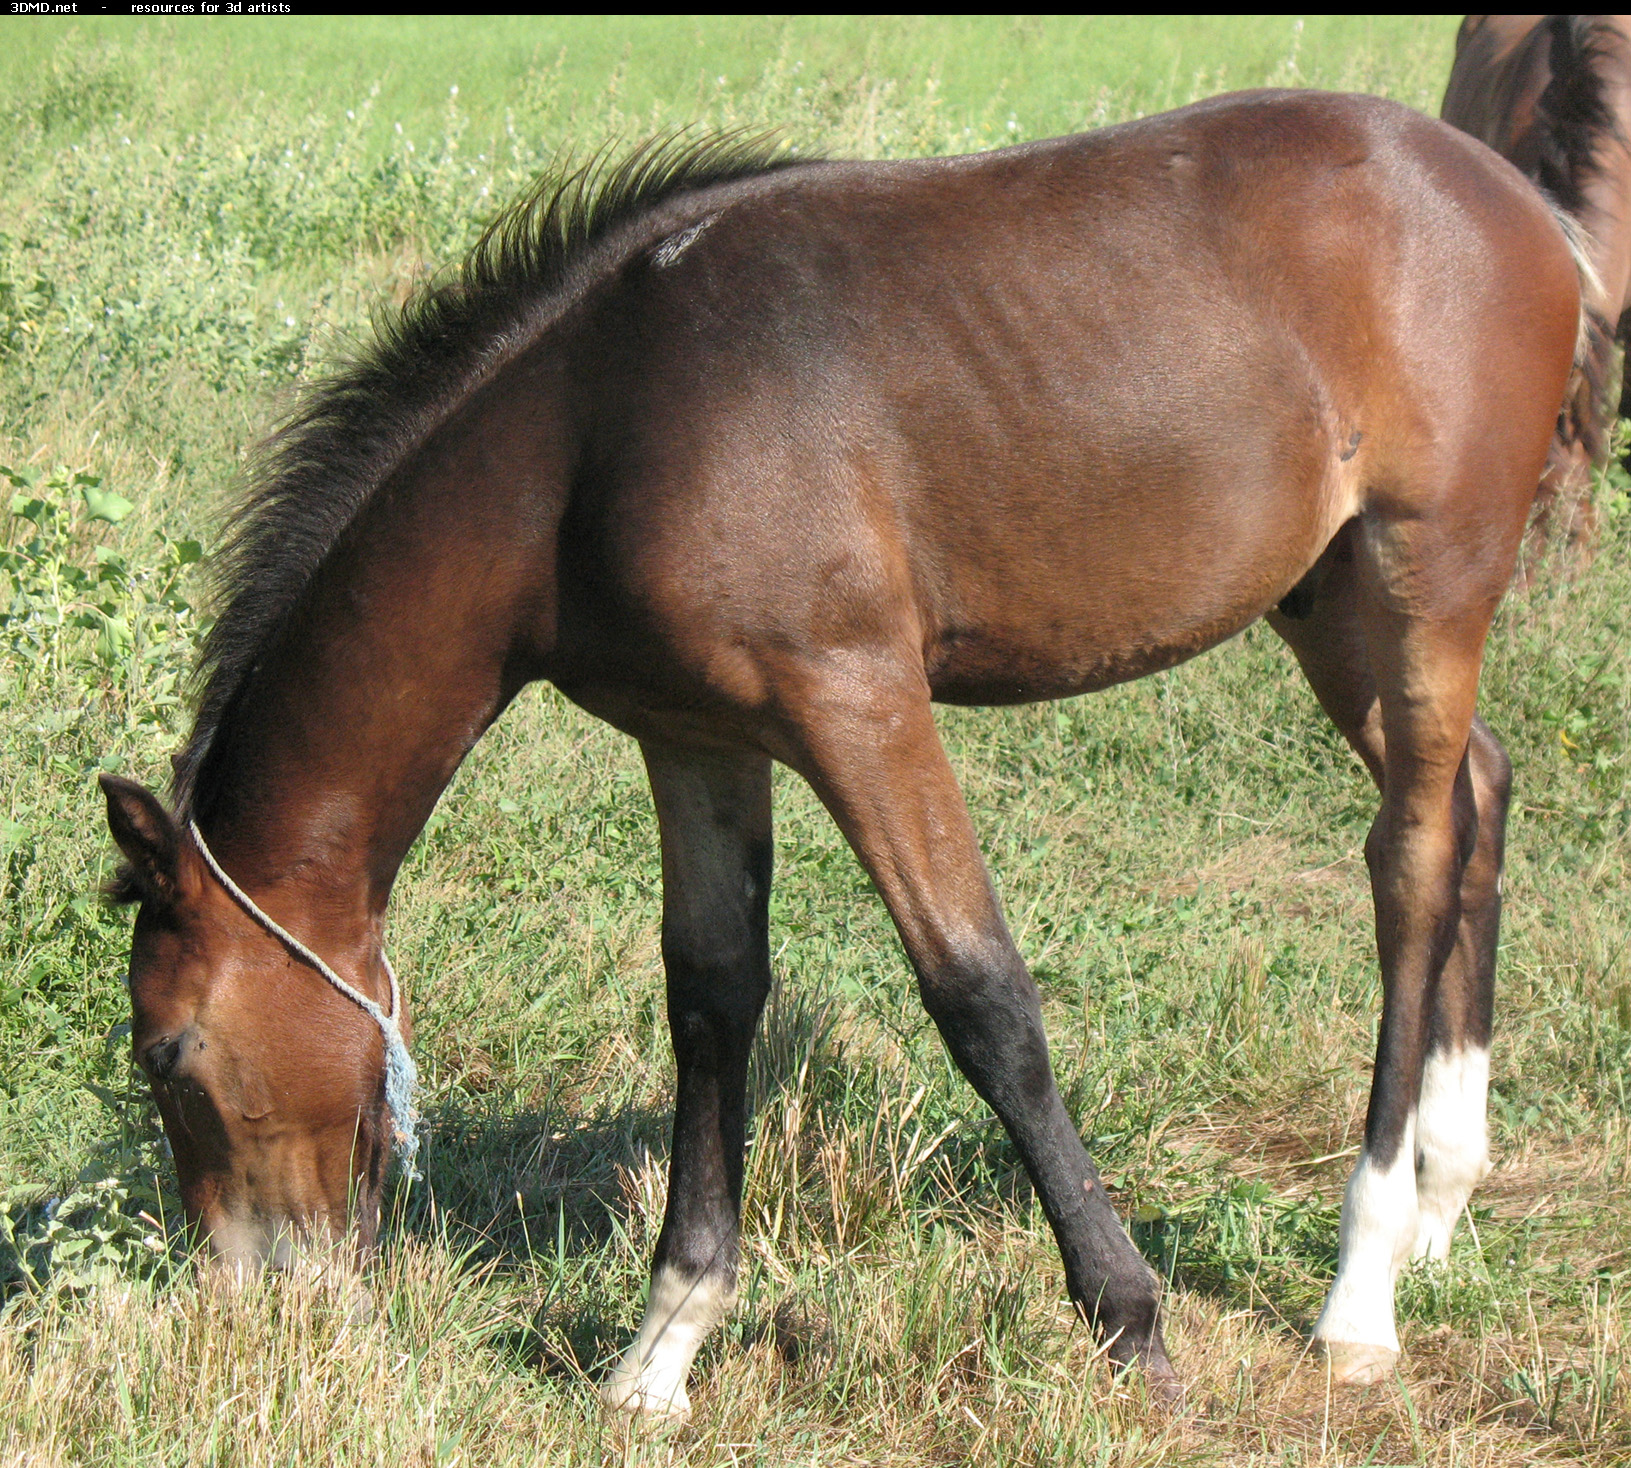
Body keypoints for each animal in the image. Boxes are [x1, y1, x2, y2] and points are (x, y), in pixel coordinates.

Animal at [98, 88, 1578, 1409]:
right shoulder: (693, 737)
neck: (590, 435)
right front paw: (662, 1347)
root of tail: (1523, 207)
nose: (255, 1305)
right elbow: (710, 996)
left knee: (1410, 857)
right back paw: (1441, 1197)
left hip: (1423, 580)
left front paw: (1128, 1324)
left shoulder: (858, 702)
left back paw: (1360, 1288)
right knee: (1478, 792)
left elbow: (982, 1000)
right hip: (1323, 603)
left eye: (166, 1055)